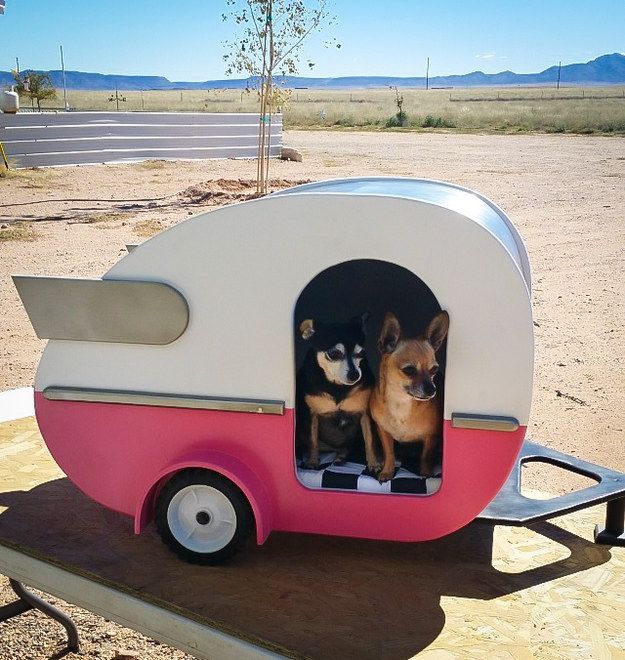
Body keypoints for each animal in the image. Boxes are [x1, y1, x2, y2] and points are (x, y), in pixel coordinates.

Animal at [366, 312, 448, 482]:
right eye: (409, 370)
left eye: (434, 370)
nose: (432, 390)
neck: (401, 402)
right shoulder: (383, 431)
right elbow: (389, 453)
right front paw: (387, 471)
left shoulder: (431, 437)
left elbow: (426, 456)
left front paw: (426, 473)